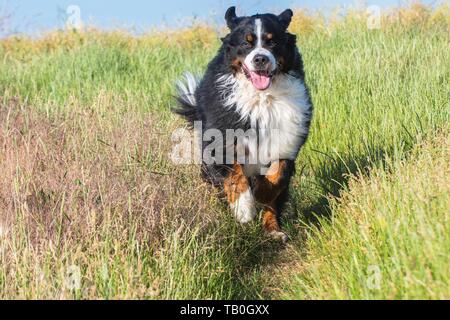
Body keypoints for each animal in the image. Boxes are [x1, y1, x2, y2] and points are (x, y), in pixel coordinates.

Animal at [173, 6, 312, 242]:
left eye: (272, 42)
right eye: (246, 43)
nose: (260, 59)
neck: (262, 98)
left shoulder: (287, 137)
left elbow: (277, 175)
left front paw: (262, 194)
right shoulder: (222, 140)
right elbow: (235, 175)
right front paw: (244, 209)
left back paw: (274, 230)